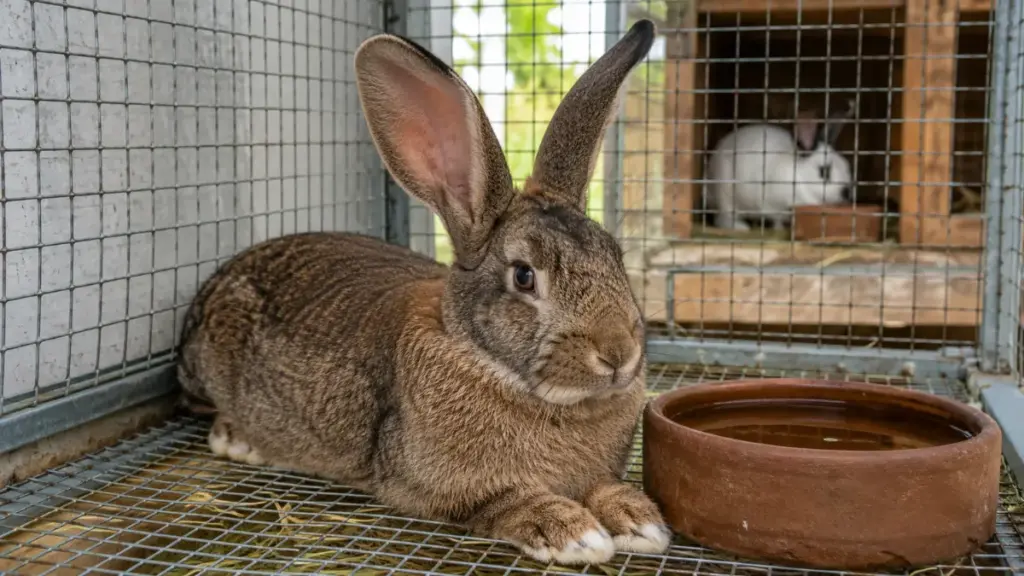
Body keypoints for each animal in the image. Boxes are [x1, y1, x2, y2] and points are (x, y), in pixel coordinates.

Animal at [176, 20, 671, 566]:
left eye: (615, 256)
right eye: (524, 277)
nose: (619, 355)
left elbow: (605, 488)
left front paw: (638, 519)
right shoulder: (433, 486)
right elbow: (505, 500)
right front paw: (572, 533)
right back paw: (238, 440)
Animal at [705, 100, 856, 231]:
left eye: (846, 165)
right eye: (824, 171)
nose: (847, 193)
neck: (799, 178)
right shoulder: (772, 204)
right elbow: (777, 218)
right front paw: (779, 228)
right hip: (725, 194)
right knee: (723, 218)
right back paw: (741, 227)